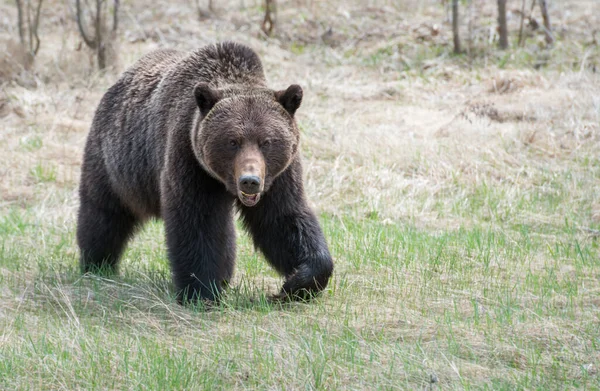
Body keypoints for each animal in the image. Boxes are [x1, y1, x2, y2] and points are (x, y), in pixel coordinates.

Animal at [76, 41, 332, 304]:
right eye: (232, 141)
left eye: (267, 142)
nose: (249, 181)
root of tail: (120, 79)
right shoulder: (191, 162)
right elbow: (198, 224)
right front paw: (200, 291)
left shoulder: (278, 176)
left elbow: (283, 220)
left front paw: (296, 282)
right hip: (117, 161)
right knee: (104, 212)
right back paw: (97, 262)